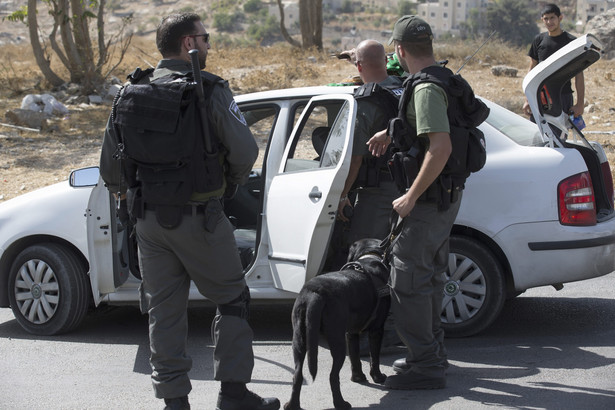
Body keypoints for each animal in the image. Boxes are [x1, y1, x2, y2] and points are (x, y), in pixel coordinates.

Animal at [286, 237, 392, 410]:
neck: (370, 257)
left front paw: (358, 377)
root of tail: (315, 294)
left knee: (297, 375)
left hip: (299, 340)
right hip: (337, 341)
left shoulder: (351, 333)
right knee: (333, 376)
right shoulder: (377, 330)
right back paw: (341, 403)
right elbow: (374, 356)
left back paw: (292, 405)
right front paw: (378, 377)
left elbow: (355, 356)